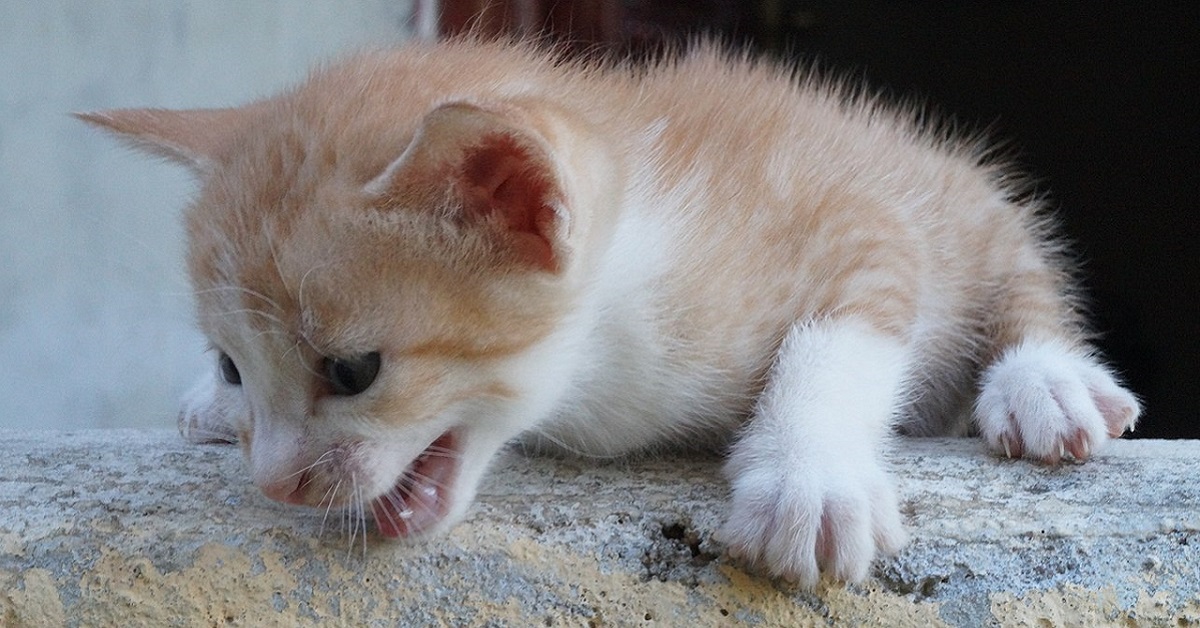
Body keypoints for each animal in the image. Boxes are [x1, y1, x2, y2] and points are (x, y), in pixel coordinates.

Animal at [79, 39, 1137, 590]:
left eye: (353, 370)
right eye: (233, 359)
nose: (276, 483)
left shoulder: (858, 217)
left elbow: (845, 332)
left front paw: (809, 474)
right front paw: (219, 404)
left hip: (959, 196)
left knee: (1021, 269)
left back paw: (1044, 382)